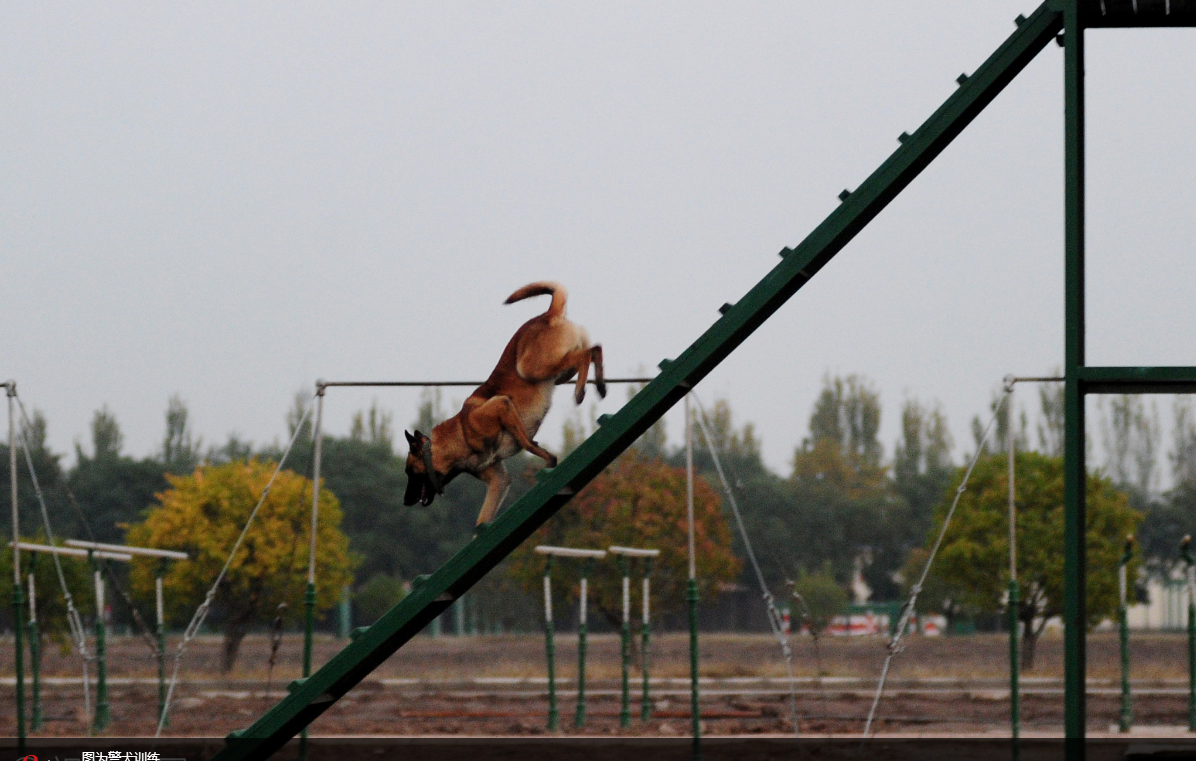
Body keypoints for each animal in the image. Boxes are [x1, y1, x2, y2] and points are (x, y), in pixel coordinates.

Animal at [404, 282, 607, 526]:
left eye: (409, 472)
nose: (405, 501)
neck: (462, 433)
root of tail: (547, 315)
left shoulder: (501, 405)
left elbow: (526, 442)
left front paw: (548, 458)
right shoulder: (498, 481)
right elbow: (482, 521)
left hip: (532, 368)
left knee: (585, 355)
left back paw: (580, 391)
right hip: (558, 373)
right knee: (595, 349)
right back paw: (600, 385)